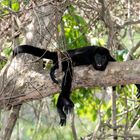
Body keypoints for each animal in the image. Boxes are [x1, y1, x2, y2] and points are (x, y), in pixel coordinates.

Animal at [12, 45, 140, 126]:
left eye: (103, 57)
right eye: (98, 57)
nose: (100, 61)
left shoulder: (110, 59)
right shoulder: (87, 55)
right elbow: (71, 61)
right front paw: (55, 67)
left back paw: (61, 106)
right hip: (67, 57)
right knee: (69, 68)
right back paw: (64, 101)